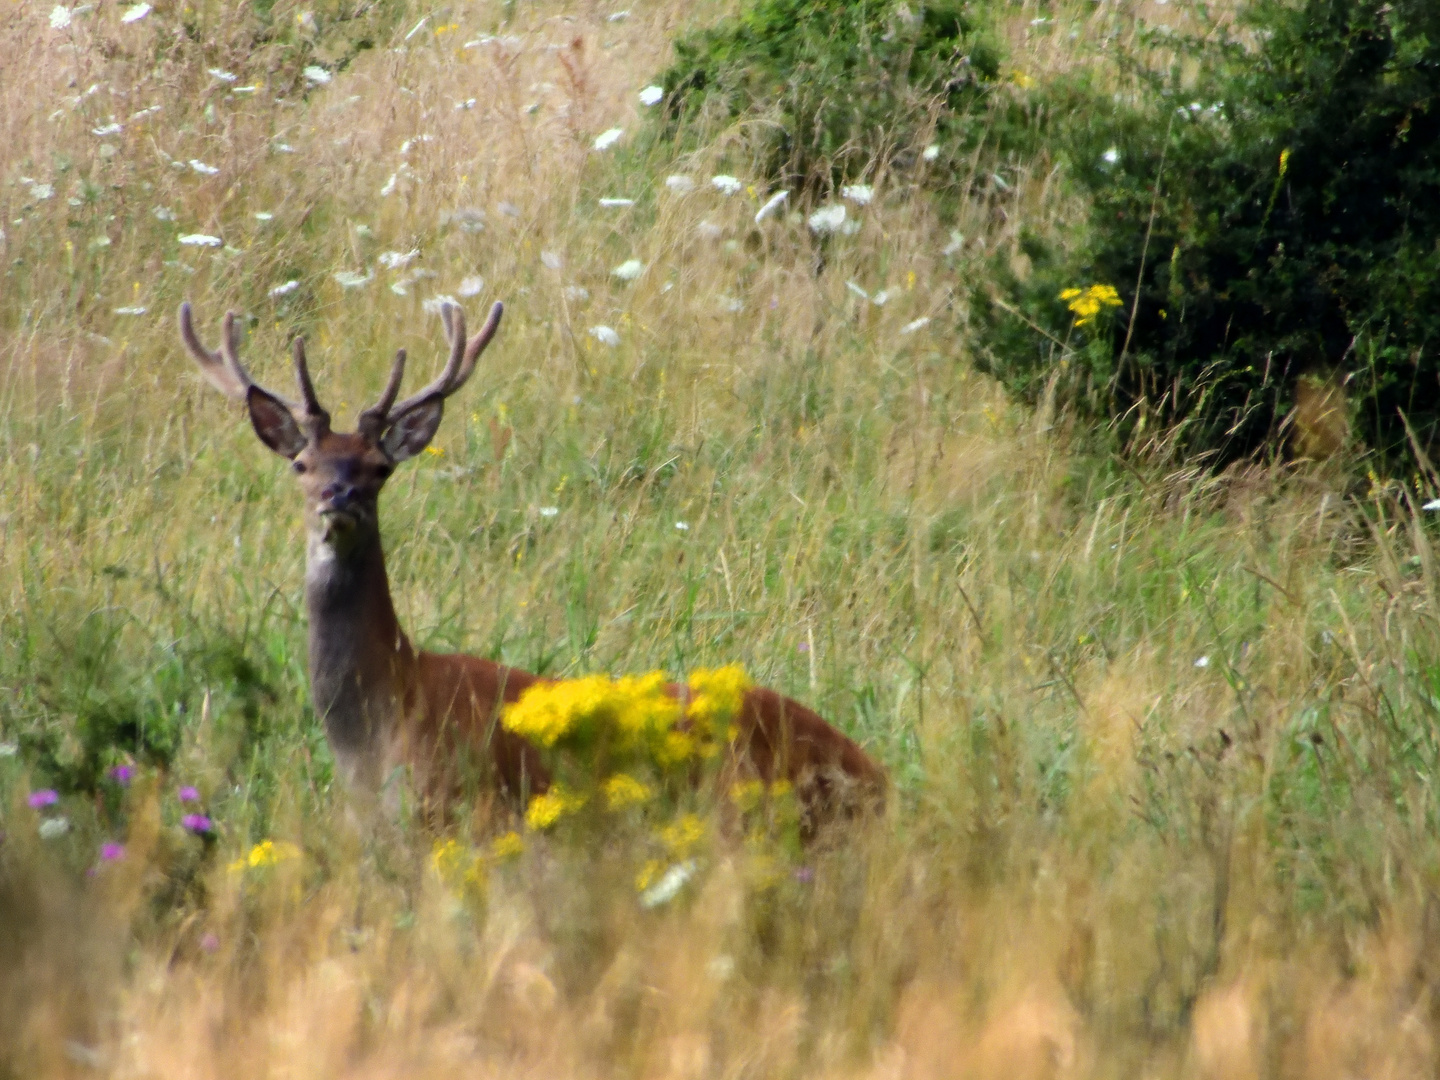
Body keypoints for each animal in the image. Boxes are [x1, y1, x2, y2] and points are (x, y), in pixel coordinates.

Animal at [174, 300, 881, 835]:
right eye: (302, 464)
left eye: (379, 469)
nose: (338, 496)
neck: (382, 722)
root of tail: (875, 775)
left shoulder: (461, 809)